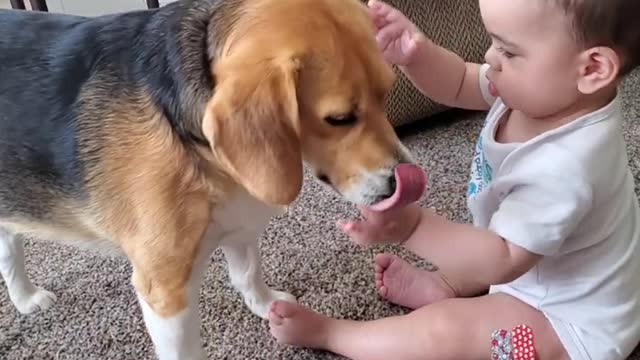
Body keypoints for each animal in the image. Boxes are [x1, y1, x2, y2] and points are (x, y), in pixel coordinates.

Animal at [0, 0, 418, 358]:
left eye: (386, 95)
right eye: (339, 119)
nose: (404, 182)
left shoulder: (238, 226)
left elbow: (248, 274)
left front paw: (267, 305)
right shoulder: (165, 289)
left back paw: (25, 298)